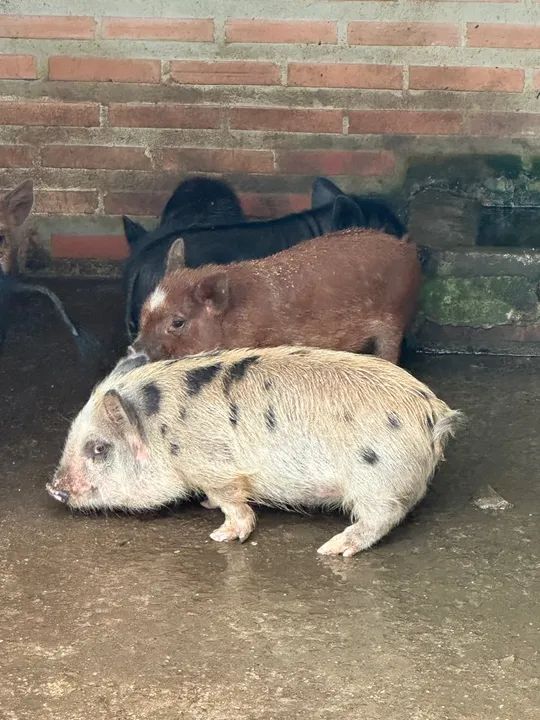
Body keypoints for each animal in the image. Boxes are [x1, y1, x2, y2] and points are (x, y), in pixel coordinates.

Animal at [47, 346, 461, 556]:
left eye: (99, 448)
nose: (53, 488)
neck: (166, 435)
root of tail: (433, 414)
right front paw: (205, 508)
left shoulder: (217, 471)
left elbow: (235, 506)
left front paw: (219, 535)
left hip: (377, 482)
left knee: (382, 519)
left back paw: (331, 549)